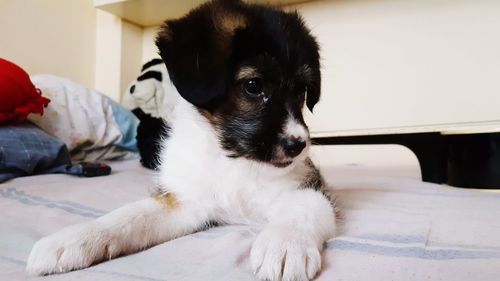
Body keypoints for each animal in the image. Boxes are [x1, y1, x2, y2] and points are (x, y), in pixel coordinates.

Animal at [28, 1, 340, 278]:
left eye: (301, 91)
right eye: (253, 86)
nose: (298, 145)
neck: (232, 160)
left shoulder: (308, 188)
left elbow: (301, 212)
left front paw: (286, 246)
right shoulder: (185, 202)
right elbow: (127, 217)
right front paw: (73, 239)